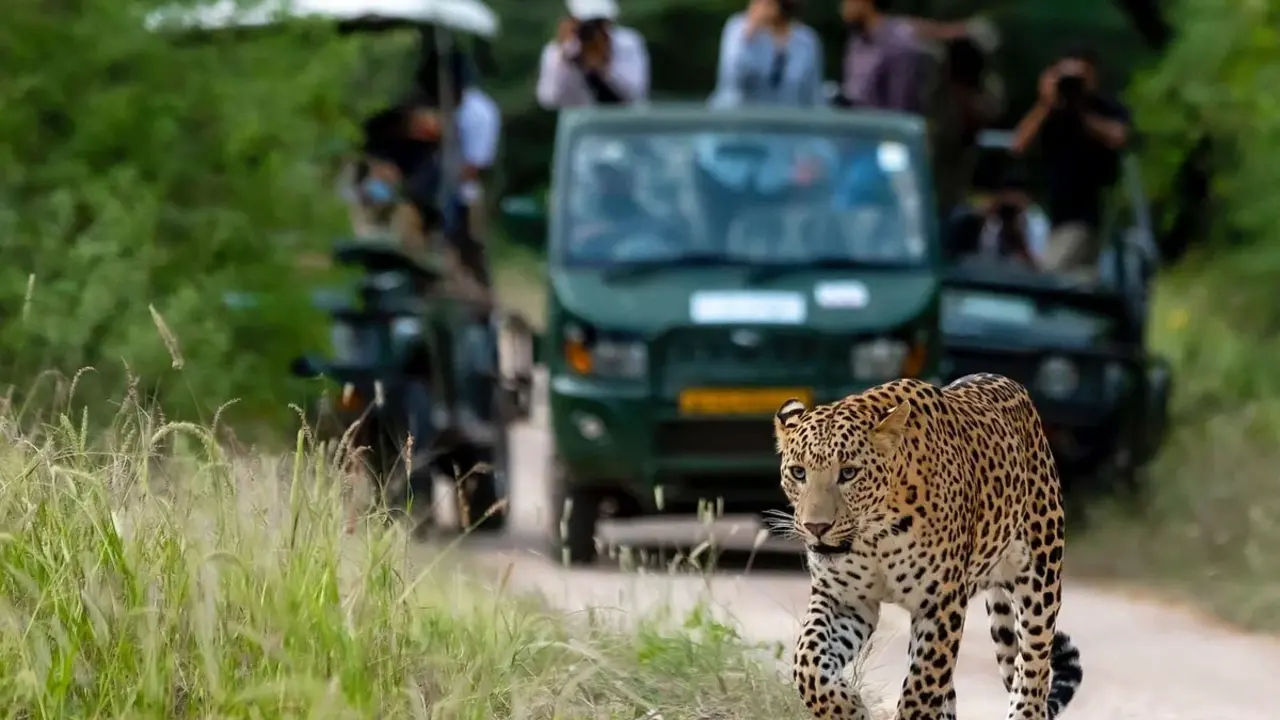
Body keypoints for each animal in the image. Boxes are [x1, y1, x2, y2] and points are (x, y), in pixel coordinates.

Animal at [773, 373, 1082, 720]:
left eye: (849, 473)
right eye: (798, 472)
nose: (816, 527)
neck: (875, 536)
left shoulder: (940, 604)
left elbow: (921, 688)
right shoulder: (843, 599)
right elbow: (808, 664)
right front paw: (850, 707)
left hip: (1040, 581)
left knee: (1033, 672)